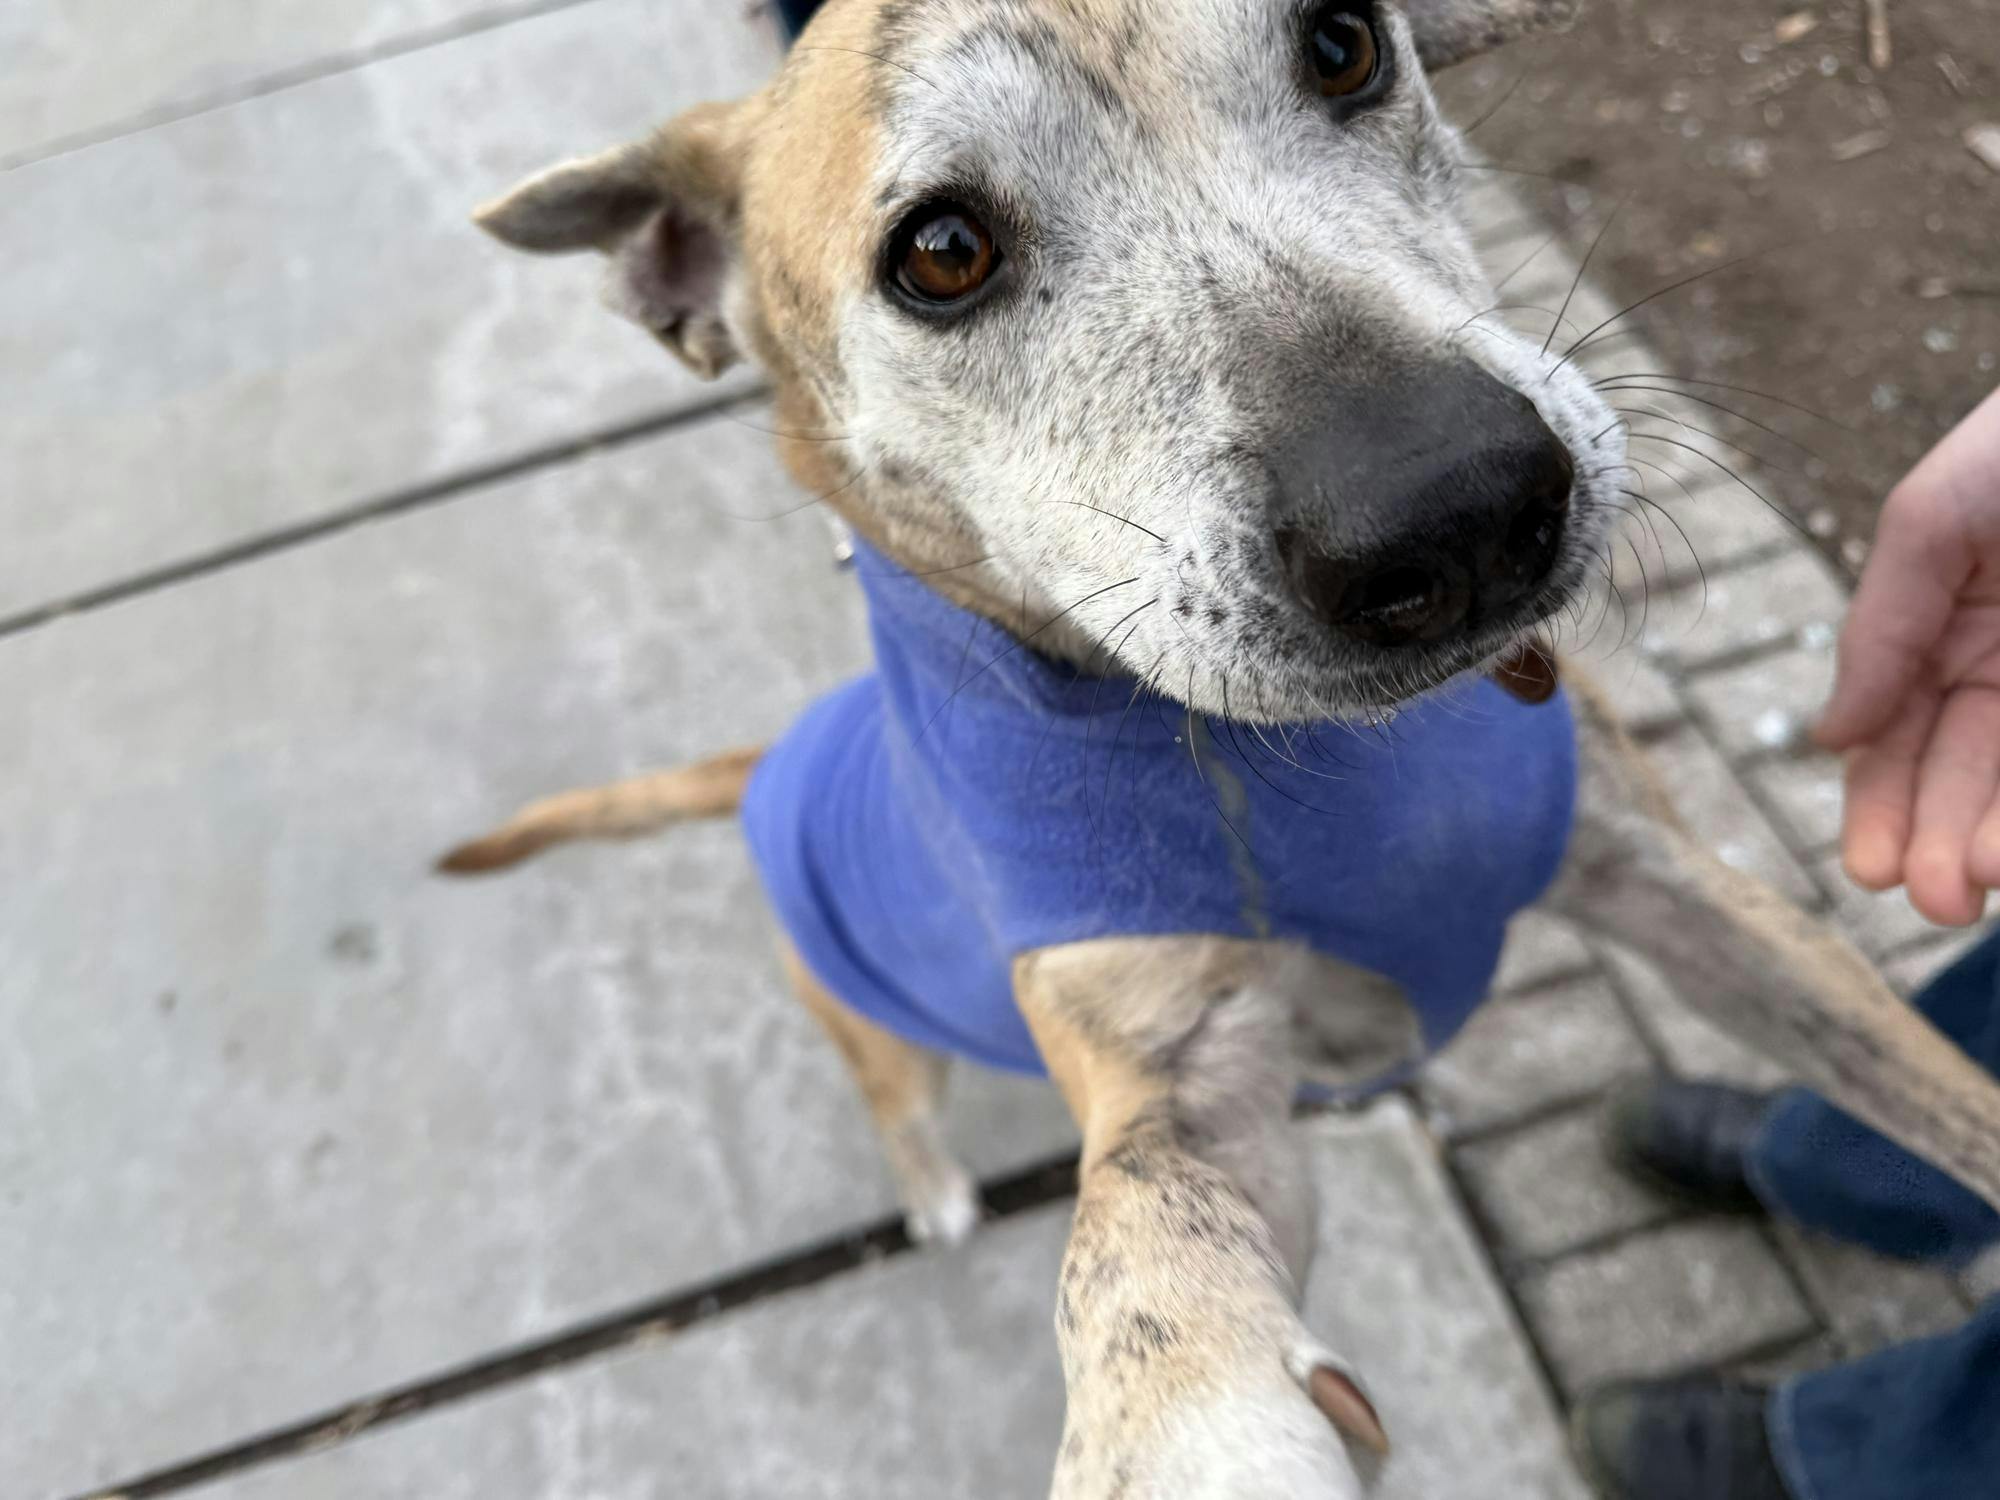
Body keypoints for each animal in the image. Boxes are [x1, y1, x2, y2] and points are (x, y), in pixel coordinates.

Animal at [438, 5, 2000, 1496]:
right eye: (941, 252)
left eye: (1344, 44)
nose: (1457, 509)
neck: (1318, 756)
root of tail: (774, 757)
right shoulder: (1186, 1076)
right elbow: (1137, 1260)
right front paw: (1198, 1438)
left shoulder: (1672, 882)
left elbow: (1924, 1083)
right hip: (864, 1021)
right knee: (900, 1104)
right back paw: (934, 1186)